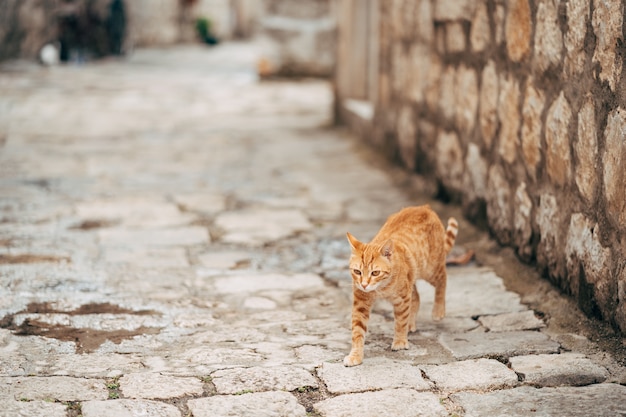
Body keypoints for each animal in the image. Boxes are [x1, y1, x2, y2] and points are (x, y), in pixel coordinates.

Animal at [344, 205, 456, 364]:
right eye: (357, 272)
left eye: (375, 273)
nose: (364, 285)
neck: (381, 288)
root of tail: (424, 207)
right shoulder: (361, 302)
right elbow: (357, 331)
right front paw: (356, 355)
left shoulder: (402, 299)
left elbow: (400, 321)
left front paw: (400, 341)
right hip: (412, 277)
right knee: (416, 297)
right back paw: (412, 322)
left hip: (431, 269)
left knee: (443, 279)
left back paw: (438, 311)